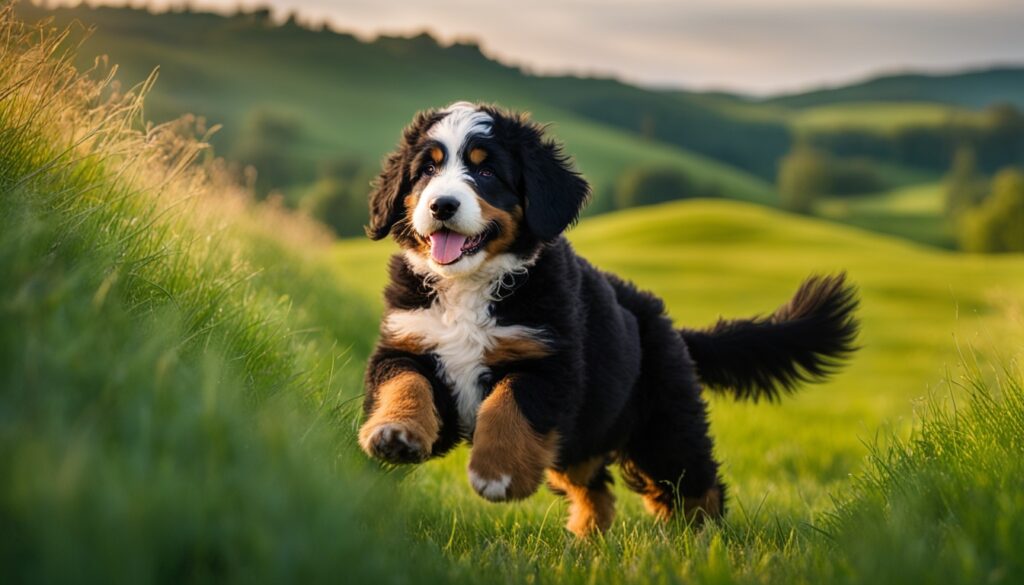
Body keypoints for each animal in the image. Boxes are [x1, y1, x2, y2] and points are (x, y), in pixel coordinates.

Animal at [356, 102, 860, 536]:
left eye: (485, 171)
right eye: (426, 171)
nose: (441, 205)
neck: (469, 287)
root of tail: (669, 326)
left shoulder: (549, 362)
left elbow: (508, 405)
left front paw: (497, 473)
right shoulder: (407, 344)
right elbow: (405, 384)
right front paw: (395, 434)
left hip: (663, 422)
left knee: (694, 483)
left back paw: (699, 542)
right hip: (585, 434)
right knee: (595, 489)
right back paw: (586, 543)